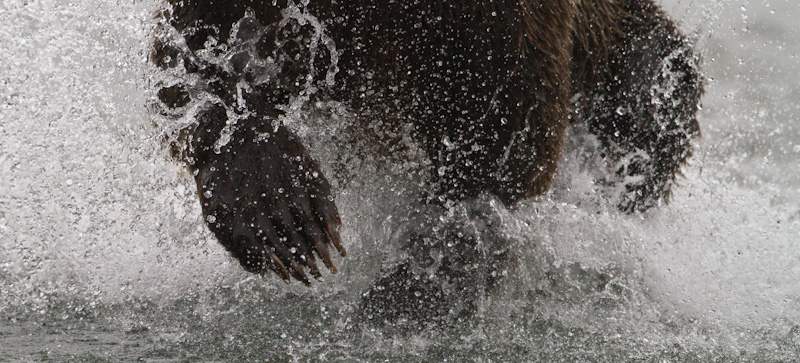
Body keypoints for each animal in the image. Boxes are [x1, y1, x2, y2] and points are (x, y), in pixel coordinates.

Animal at [148, 0, 700, 330]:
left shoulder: (505, 26)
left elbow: (505, 131)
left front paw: (411, 290)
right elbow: (198, 43)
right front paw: (280, 212)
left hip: (623, 67)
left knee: (652, 93)